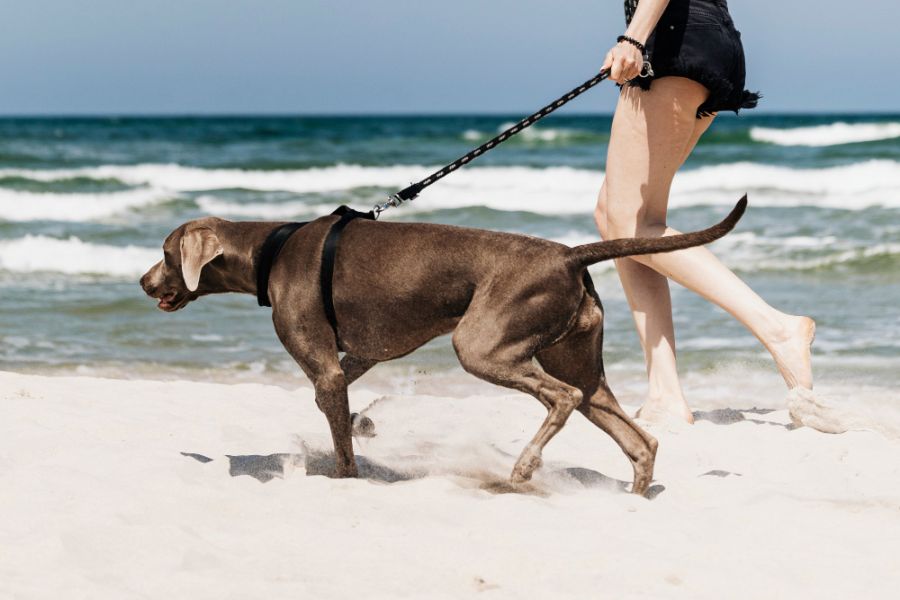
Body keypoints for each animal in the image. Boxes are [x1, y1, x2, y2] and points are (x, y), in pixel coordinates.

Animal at [139, 197, 744, 496]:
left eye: (166, 254)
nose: (144, 283)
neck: (271, 248)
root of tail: (571, 256)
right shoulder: (365, 351)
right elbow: (345, 394)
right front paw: (363, 422)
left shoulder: (327, 366)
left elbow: (339, 440)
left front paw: (344, 477)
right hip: (579, 359)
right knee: (636, 435)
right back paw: (633, 496)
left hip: (481, 345)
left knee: (562, 397)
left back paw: (523, 469)